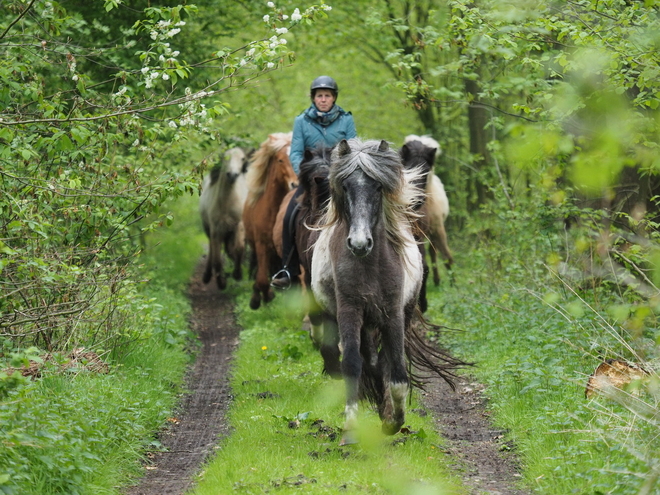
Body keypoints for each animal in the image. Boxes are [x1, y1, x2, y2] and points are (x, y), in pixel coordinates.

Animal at [199, 145, 253, 288]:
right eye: (224, 158)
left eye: (242, 158)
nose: (232, 175)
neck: (227, 202)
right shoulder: (215, 228)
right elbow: (217, 258)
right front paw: (221, 282)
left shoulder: (239, 225)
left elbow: (239, 248)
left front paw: (237, 274)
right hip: (209, 228)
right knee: (212, 249)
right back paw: (207, 275)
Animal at [402, 136, 454, 286]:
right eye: (408, 169)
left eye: (425, 170)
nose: (415, 200)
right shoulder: (415, 233)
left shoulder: (437, 229)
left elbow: (447, 256)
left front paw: (453, 283)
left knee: (433, 252)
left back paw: (437, 281)